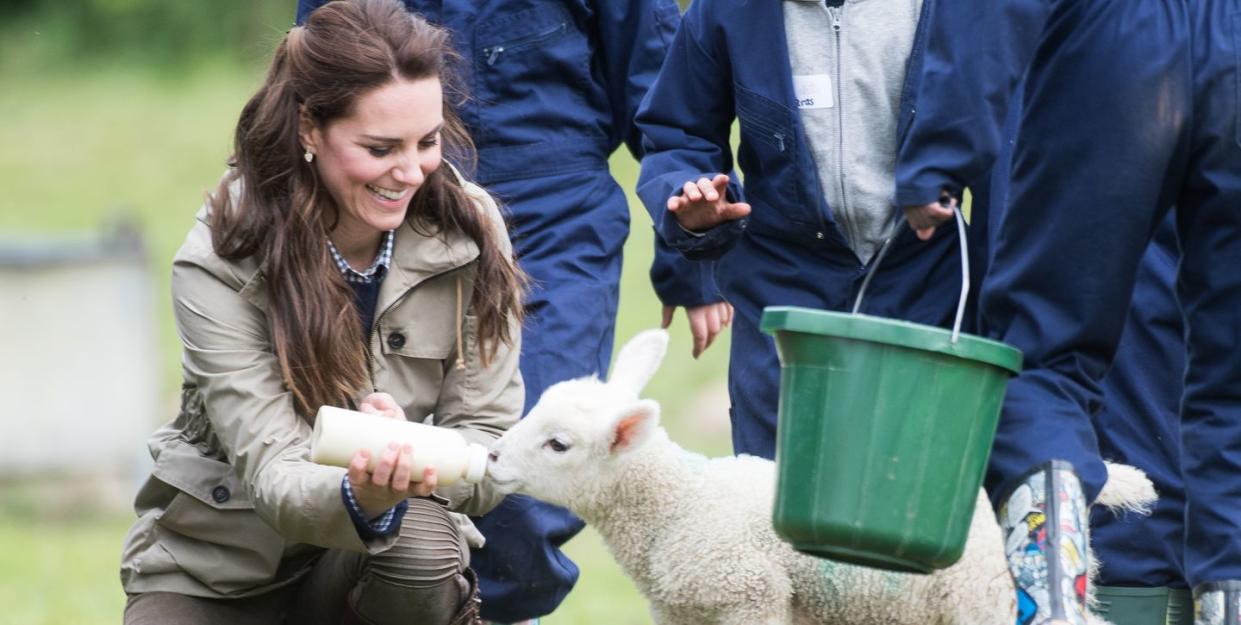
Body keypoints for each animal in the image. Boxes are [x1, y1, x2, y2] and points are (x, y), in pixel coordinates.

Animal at [481, 329, 1151, 622]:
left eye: (558, 444)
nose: (490, 458)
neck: (678, 505)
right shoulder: (680, 609)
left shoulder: (749, 594)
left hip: (984, 602)